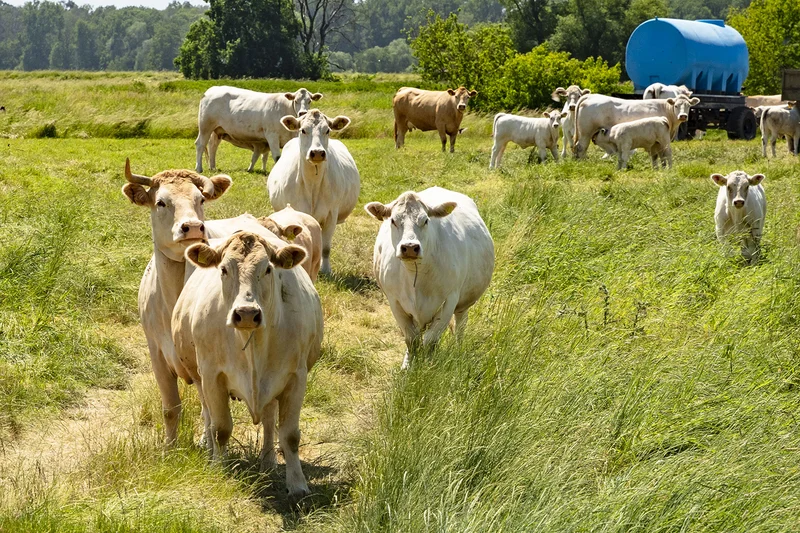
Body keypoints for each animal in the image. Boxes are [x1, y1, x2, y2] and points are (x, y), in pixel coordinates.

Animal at [121, 158, 232, 445]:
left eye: (200, 199)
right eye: (161, 202)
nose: (192, 227)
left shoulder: (202, 360)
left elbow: (208, 410)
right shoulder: (156, 354)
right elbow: (171, 409)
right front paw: (169, 448)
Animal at [173, 232, 323, 501]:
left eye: (268, 269)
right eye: (223, 269)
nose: (246, 313)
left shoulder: (296, 378)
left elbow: (290, 435)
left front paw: (297, 484)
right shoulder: (212, 376)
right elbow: (220, 428)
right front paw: (218, 470)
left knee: (269, 419)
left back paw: (268, 461)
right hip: (199, 379)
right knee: (208, 417)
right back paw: (209, 450)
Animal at [268, 109, 360, 276]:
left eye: (327, 130)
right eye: (303, 130)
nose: (317, 153)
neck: (312, 185)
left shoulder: (331, 215)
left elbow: (326, 248)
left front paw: (326, 270)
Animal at [365, 187, 494, 369]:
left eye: (425, 220)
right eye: (393, 221)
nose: (409, 247)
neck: (416, 276)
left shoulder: (449, 300)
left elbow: (430, 341)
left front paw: (428, 368)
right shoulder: (395, 302)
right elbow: (411, 341)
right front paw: (408, 368)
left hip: (463, 305)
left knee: (460, 326)